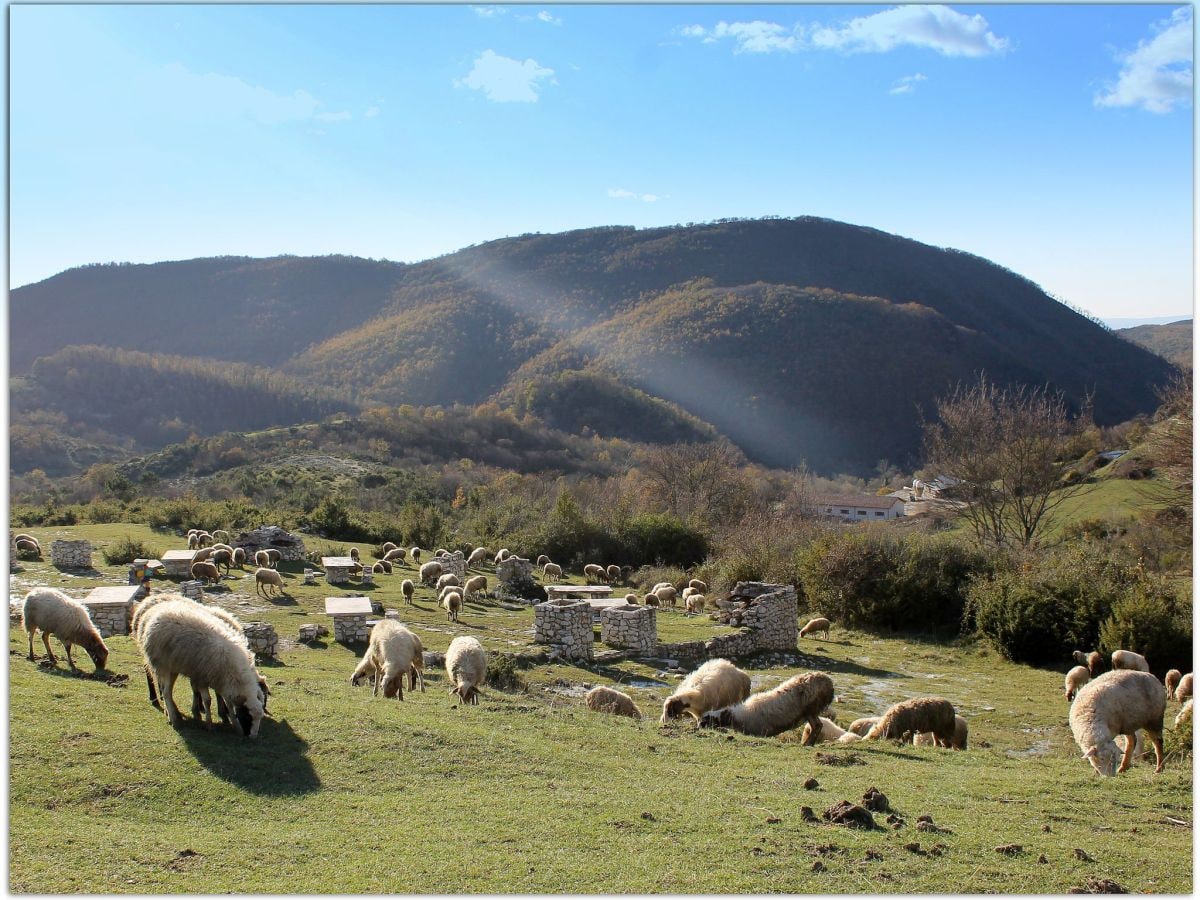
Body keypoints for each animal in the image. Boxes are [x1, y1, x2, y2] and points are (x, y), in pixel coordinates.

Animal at [137, 600, 266, 739]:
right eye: (248, 717)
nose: (253, 737)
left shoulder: (221, 681)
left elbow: (229, 704)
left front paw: (235, 726)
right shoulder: (202, 677)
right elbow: (207, 700)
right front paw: (209, 724)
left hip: (173, 667)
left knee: (168, 691)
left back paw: (173, 716)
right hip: (163, 665)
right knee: (165, 692)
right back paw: (174, 720)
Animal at [700, 676, 835, 739]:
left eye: (708, 719)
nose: (699, 725)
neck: (736, 717)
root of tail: (828, 681)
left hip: (810, 709)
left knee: (817, 726)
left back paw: (807, 744)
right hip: (812, 711)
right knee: (818, 725)